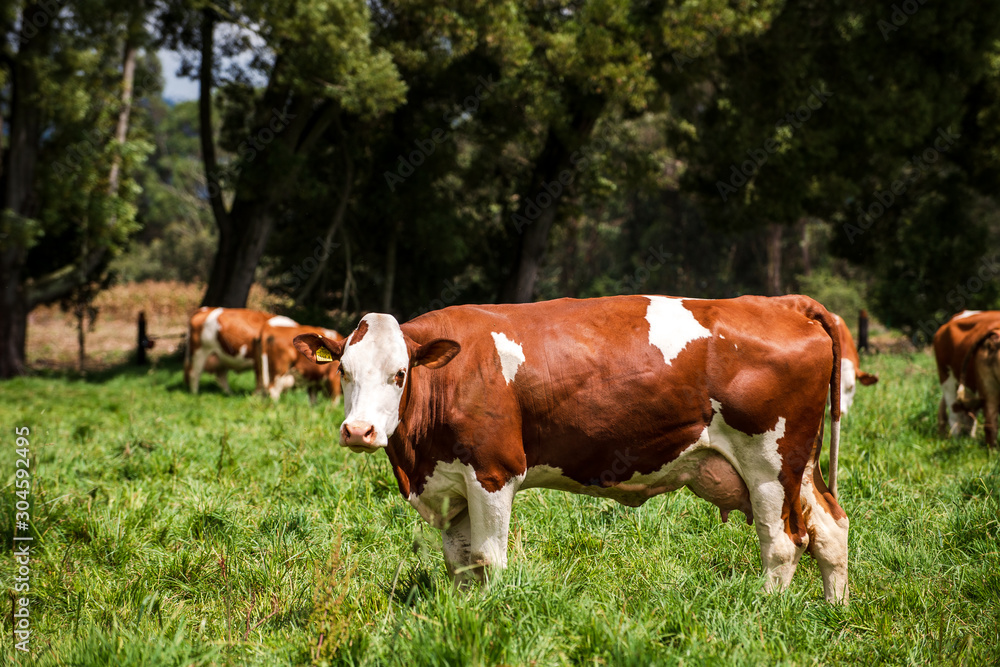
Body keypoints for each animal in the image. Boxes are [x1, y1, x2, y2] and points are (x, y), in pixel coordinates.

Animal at [292, 294, 848, 604]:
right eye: (343, 371)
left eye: (400, 373)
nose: (359, 430)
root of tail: (781, 302)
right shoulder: (451, 481)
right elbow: (461, 561)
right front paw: (465, 615)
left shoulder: (493, 471)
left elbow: (489, 558)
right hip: (799, 465)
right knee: (829, 527)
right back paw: (833, 610)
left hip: (769, 463)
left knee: (782, 543)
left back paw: (767, 612)